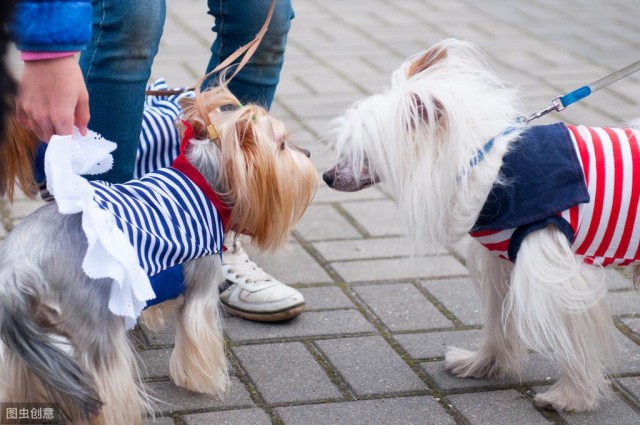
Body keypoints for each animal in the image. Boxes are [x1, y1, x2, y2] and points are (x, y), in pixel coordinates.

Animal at [324, 37, 640, 410]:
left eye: (364, 152)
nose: (326, 177)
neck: (489, 164)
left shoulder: (557, 274)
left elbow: (573, 336)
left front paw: (570, 396)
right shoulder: (500, 264)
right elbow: (497, 321)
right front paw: (484, 364)